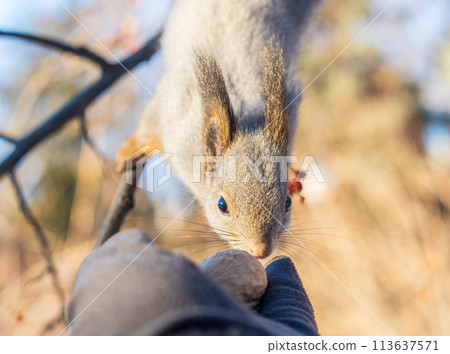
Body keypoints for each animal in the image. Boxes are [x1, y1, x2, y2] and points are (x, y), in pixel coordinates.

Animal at [116, 0, 320, 260]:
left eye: (287, 202)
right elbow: (146, 130)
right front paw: (127, 152)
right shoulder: (171, 109)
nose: (260, 251)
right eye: (222, 205)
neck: (248, 119)